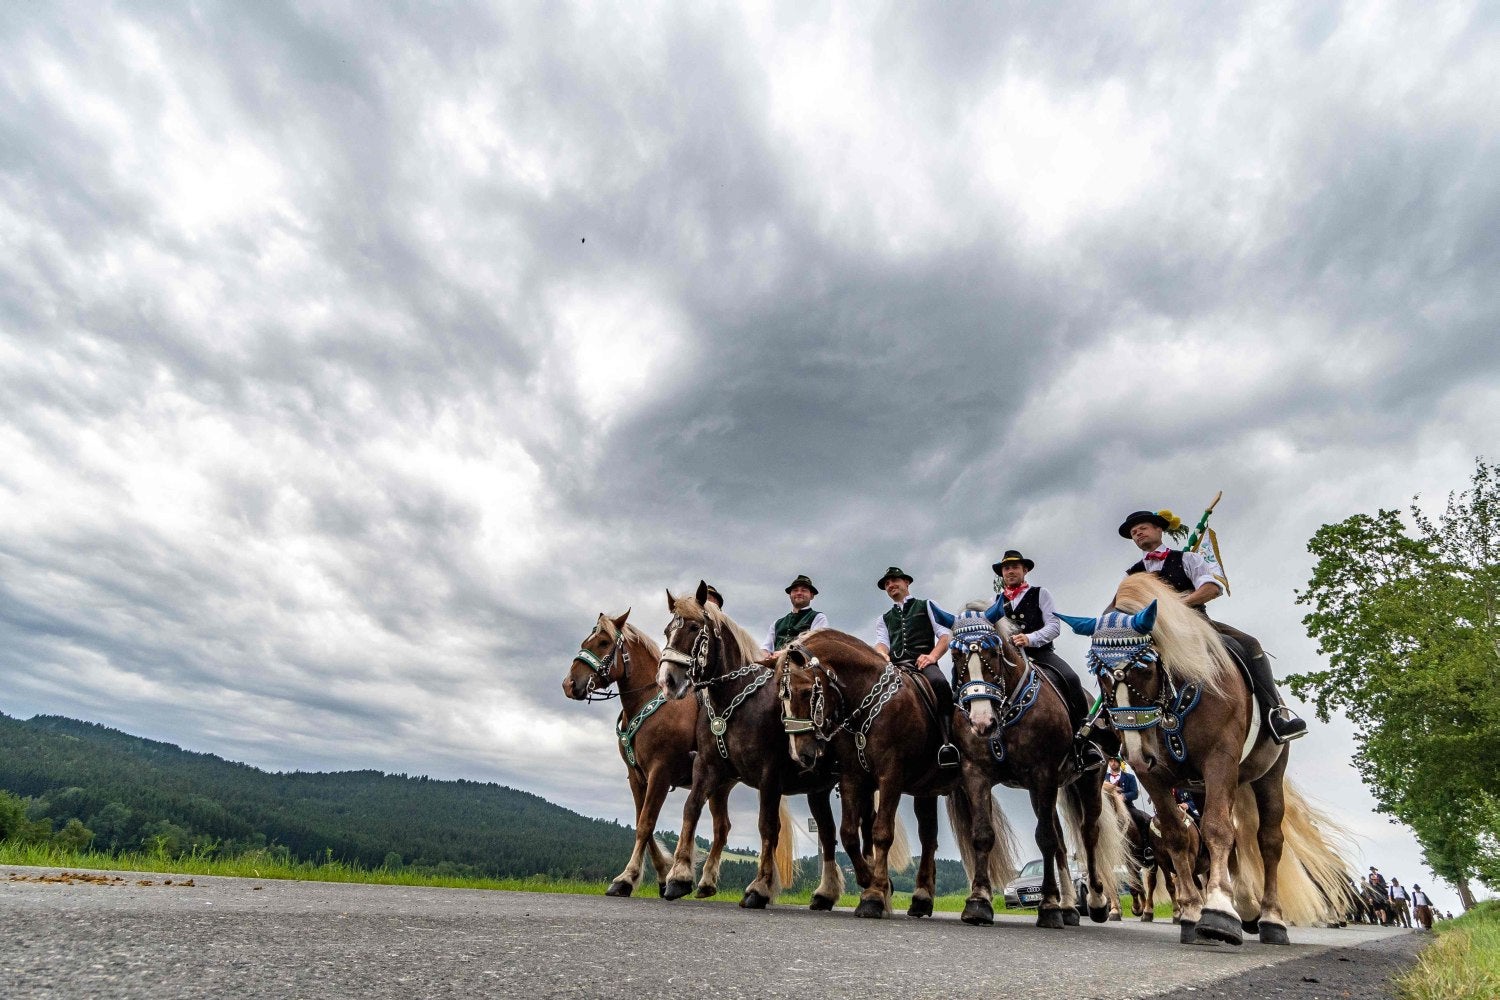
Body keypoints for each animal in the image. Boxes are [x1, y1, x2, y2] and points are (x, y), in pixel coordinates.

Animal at [564, 611, 732, 899]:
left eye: (604, 642)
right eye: (587, 641)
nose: (569, 684)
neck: (649, 700)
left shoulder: (660, 773)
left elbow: (646, 823)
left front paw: (627, 877)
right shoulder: (637, 776)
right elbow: (643, 822)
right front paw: (663, 874)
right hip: (718, 786)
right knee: (722, 828)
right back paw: (707, 883)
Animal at [774, 629, 960, 917]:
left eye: (806, 692)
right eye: (781, 697)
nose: (800, 755)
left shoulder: (890, 777)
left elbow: (881, 833)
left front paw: (875, 894)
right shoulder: (852, 777)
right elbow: (849, 833)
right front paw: (870, 881)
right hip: (925, 790)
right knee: (928, 835)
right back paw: (922, 899)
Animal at [936, 599, 1128, 929]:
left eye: (993, 652)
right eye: (955, 654)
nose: (981, 722)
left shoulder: (1043, 775)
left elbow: (1045, 839)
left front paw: (1048, 906)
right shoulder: (977, 775)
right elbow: (983, 834)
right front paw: (978, 902)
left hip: (1086, 781)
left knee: (1088, 833)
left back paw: (1095, 902)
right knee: (1063, 841)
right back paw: (1068, 907)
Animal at [1062, 578, 1356, 947]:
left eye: (1145, 668)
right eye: (1100, 673)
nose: (1135, 753)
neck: (1175, 702)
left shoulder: (1220, 760)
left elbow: (1218, 830)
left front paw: (1216, 911)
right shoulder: (1155, 778)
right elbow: (1177, 837)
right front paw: (1190, 913)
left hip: (1268, 775)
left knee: (1268, 841)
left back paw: (1270, 919)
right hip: (1206, 788)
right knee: (1231, 843)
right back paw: (1245, 908)